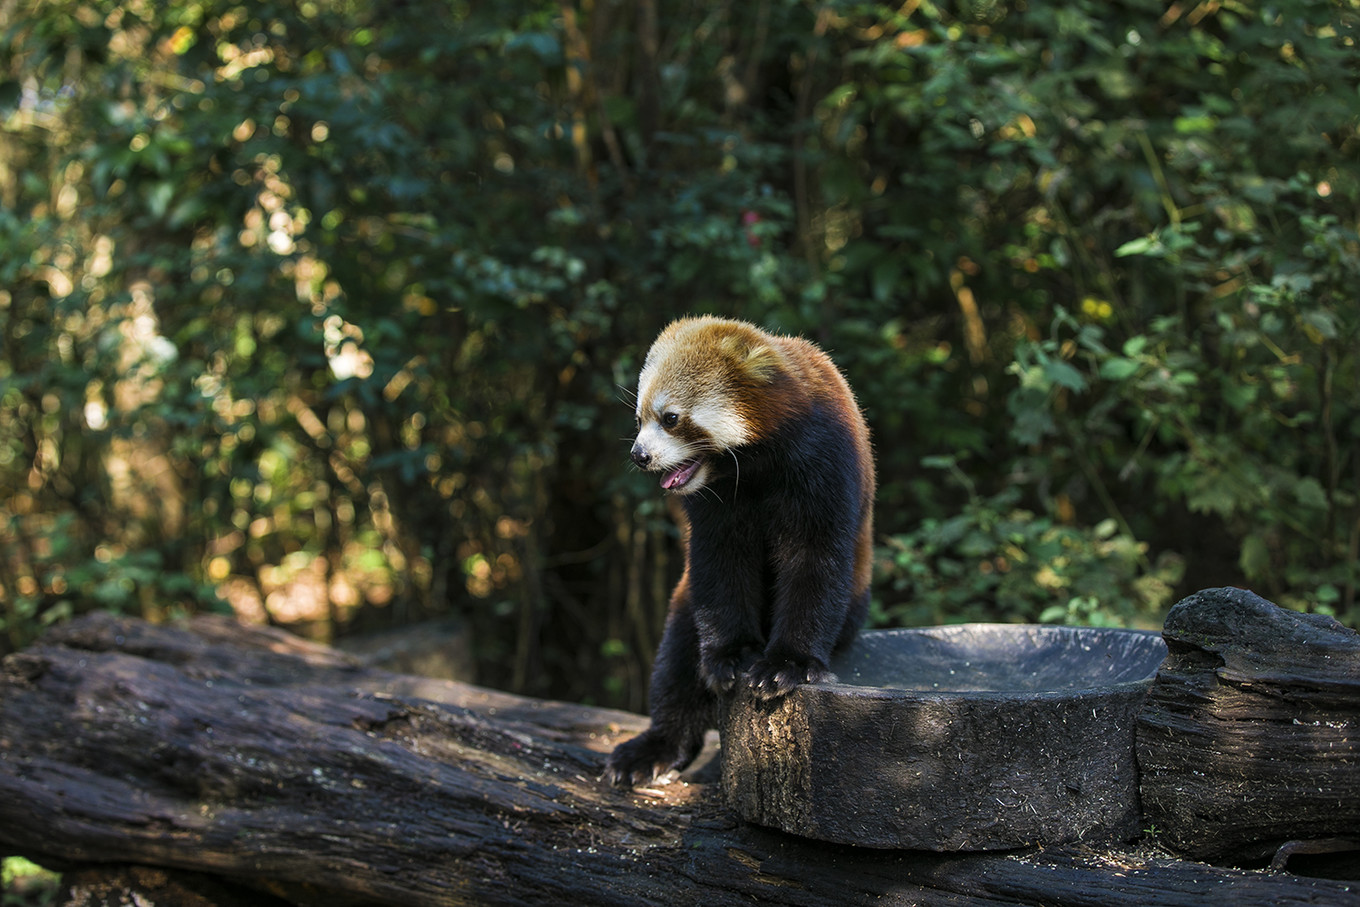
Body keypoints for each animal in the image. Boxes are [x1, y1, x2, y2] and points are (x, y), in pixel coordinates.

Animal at [603, 318, 870, 788]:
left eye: (670, 418)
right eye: (638, 419)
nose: (639, 455)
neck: (758, 465)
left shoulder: (825, 462)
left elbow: (815, 563)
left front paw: (787, 664)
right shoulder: (717, 507)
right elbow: (721, 565)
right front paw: (733, 655)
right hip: (684, 603)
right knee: (677, 662)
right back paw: (653, 748)